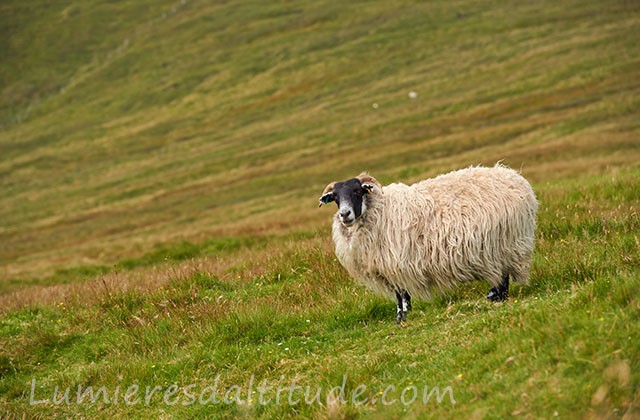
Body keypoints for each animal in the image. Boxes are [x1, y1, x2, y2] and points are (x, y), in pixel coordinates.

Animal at [318, 164, 536, 322]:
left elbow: (402, 294)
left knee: (503, 274)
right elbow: (399, 294)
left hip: (502, 243)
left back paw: (498, 297)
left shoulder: (395, 262)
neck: (377, 210)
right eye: (336, 197)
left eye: (357, 191)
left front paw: (402, 317)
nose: (344, 214)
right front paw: (401, 317)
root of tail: (516, 179)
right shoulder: (387, 265)